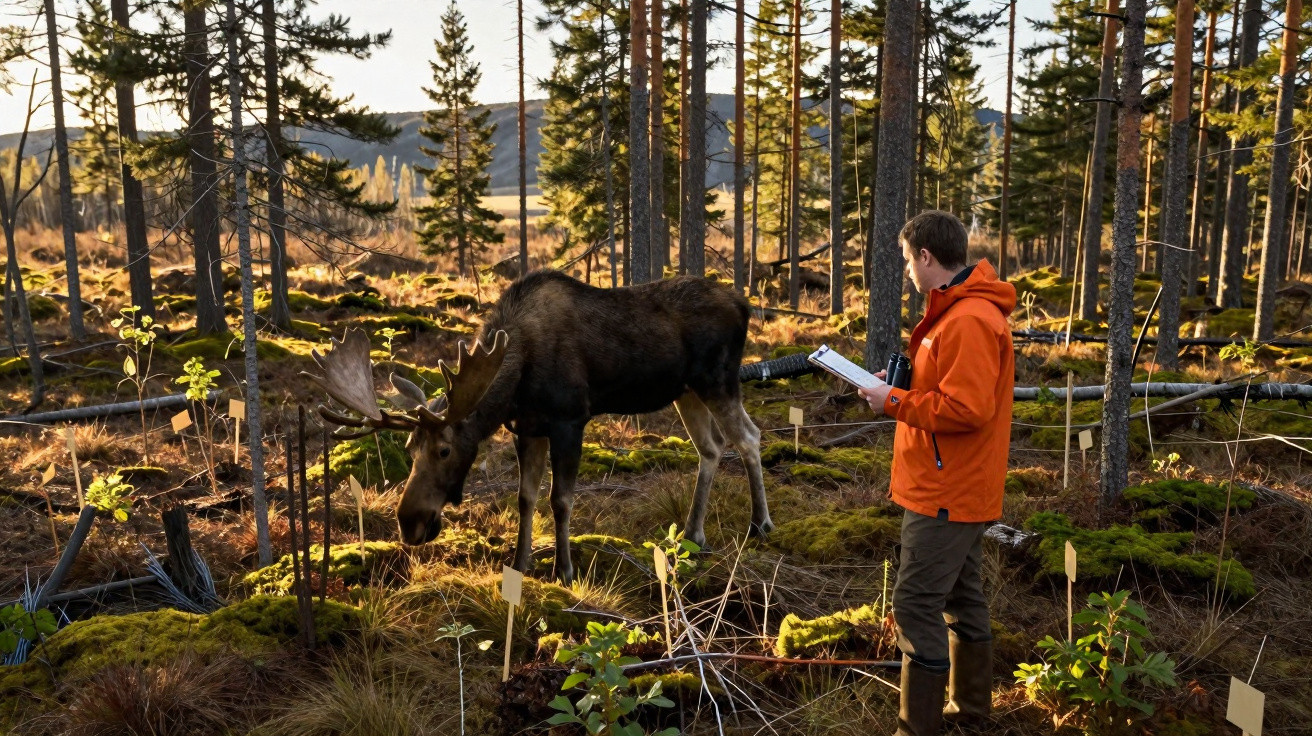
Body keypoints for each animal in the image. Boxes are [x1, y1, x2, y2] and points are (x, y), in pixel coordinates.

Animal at [305, 270, 773, 583]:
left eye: (444, 450)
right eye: (408, 449)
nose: (409, 524)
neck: (516, 376)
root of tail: (745, 305)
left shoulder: (570, 420)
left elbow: (560, 500)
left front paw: (564, 569)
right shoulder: (527, 429)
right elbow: (525, 498)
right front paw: (520, 562)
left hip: (718, 379)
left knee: (749, 438)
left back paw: (760, 524)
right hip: (686, 390)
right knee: (711, 447)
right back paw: (695, 533)